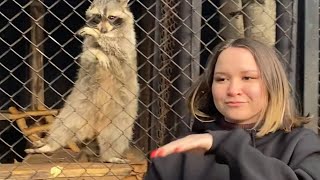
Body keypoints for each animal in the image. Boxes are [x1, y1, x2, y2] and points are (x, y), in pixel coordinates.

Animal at [25, 0, 139, 163]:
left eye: (111, 17)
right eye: (98, 16)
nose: (102, 29)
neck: (110, 32)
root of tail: (95, 125)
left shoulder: (128, 44)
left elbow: (119, 53)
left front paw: (99, 38)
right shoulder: (87, 46)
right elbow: (87, 54)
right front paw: (98, 51)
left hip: (121, 113)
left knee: (115, 136)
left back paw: (110, 156)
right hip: (78, 108)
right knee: (64, 126)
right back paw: (51, 144)